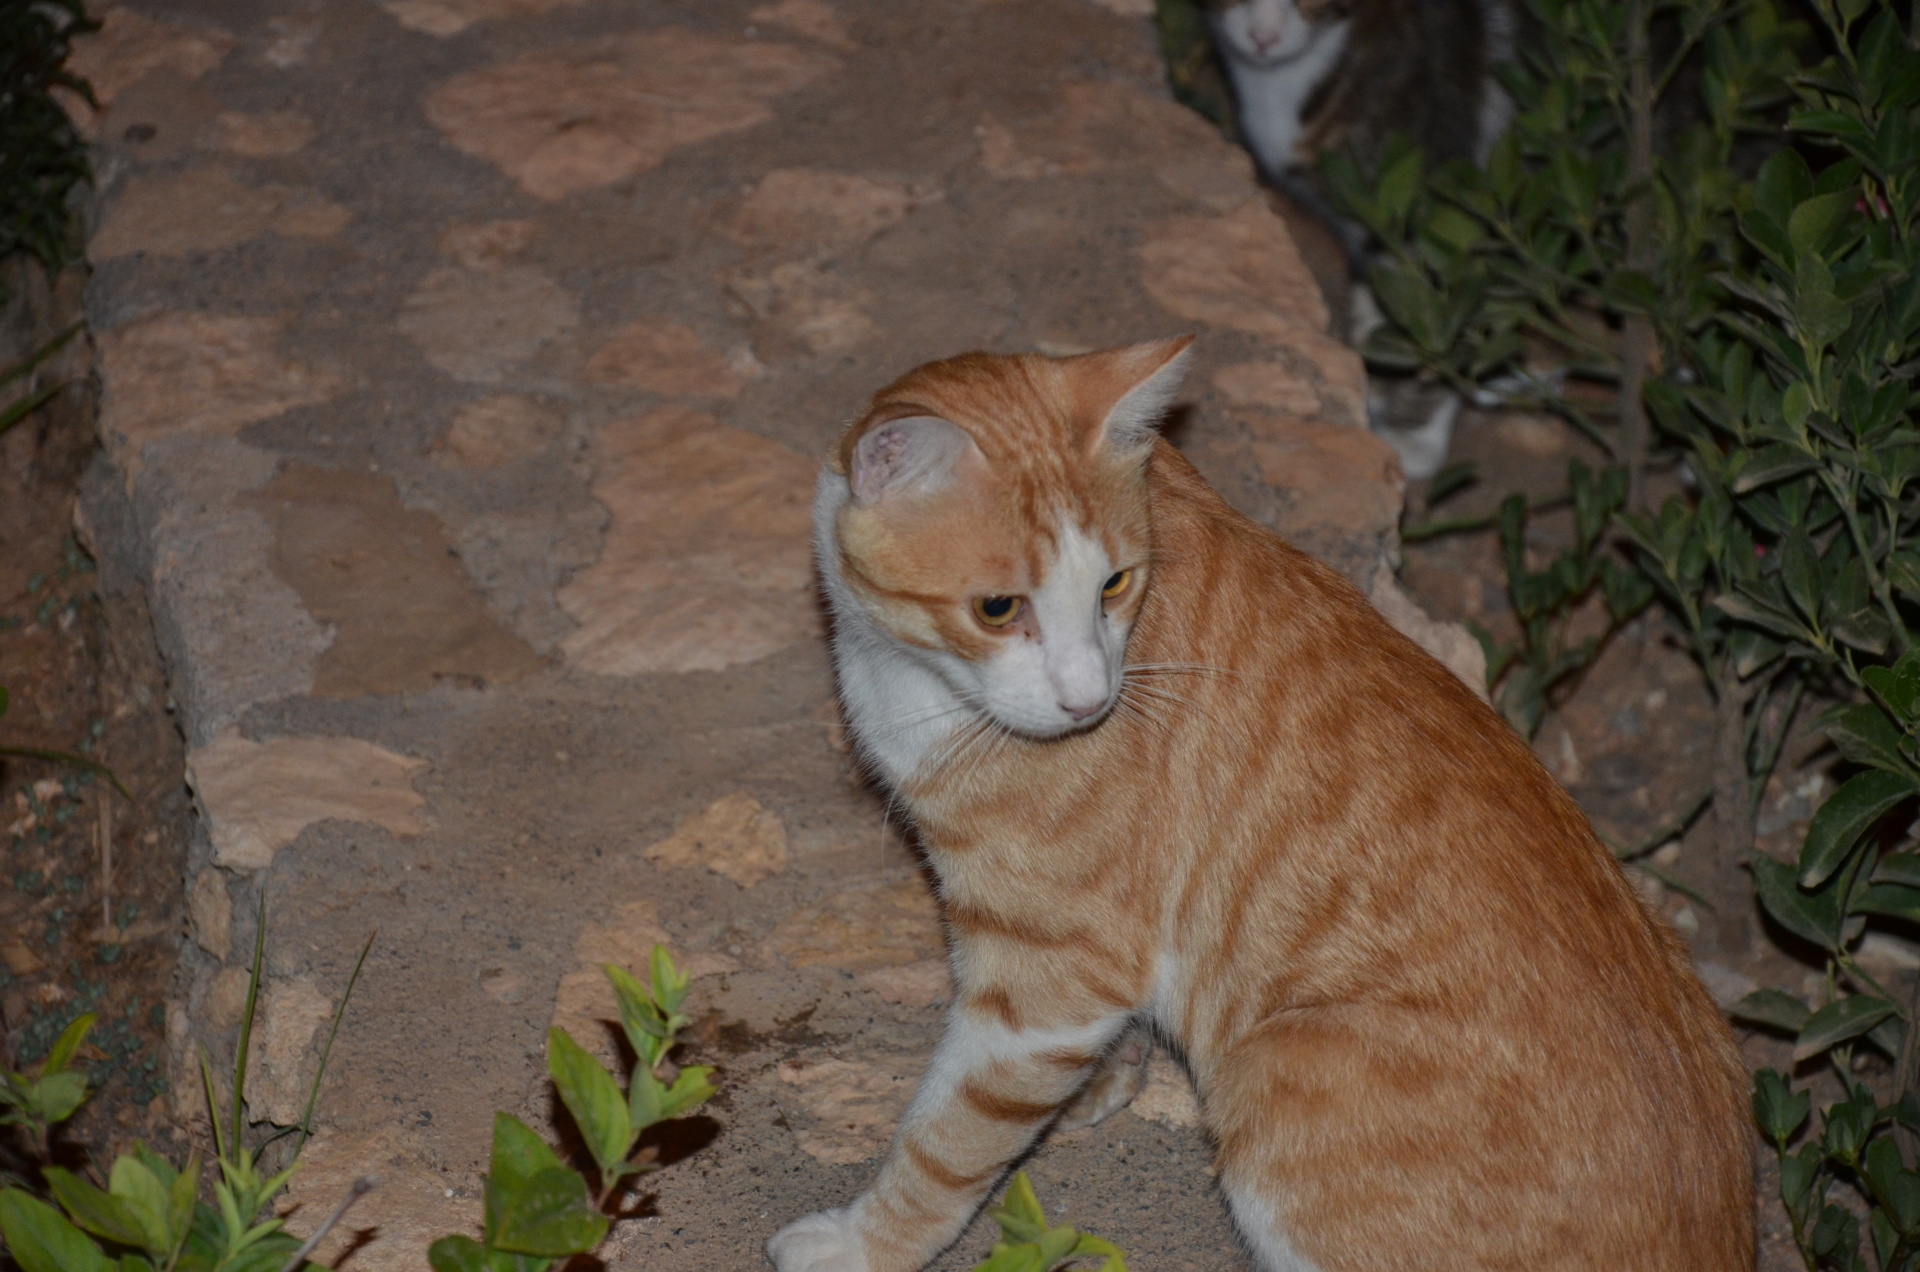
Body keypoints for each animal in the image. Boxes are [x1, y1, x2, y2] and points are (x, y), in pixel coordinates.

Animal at [767, 337, 1751, 1272]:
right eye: (999, 608)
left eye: (1114, 584)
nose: (1090, 704)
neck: (911, 675)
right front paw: (1097, 1088)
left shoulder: (1050, 978)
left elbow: (949, 1139)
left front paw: (863, 1242)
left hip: (1271, 1079)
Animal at [1204, 0, 1515, 480]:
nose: (1263, 36)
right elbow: (1384, 297)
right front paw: (1372, 362)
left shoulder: (1430, 204)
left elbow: (1436, 320)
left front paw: (1413, 430)